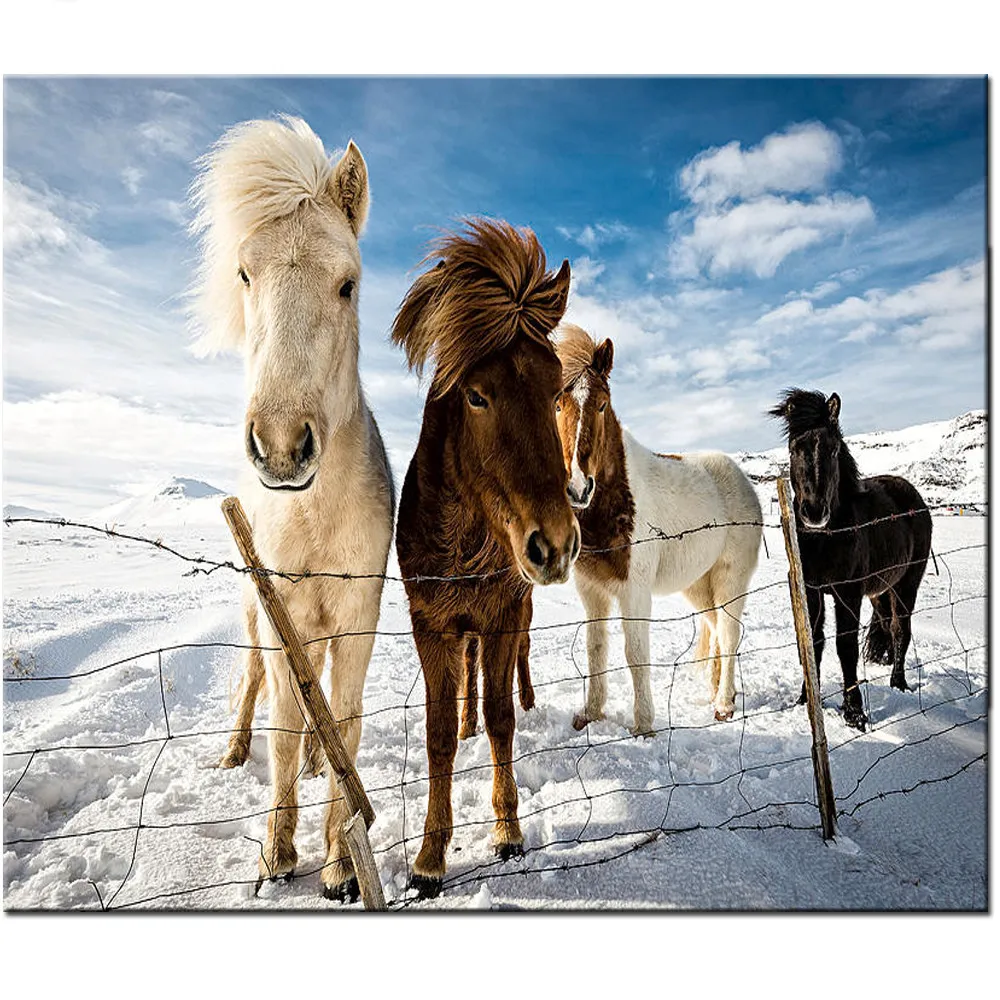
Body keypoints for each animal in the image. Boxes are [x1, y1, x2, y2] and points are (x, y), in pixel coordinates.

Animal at [189, 117, 394, 900]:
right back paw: (233, 752)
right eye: (245, 275)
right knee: (255, 688)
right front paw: (276, 856)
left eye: (348, 284)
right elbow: (281, 721)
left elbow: (346, 719)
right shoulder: (282, 619)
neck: (314, 518)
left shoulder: (358, 618)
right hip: (257, 616)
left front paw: (339, 862)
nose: (280, 447)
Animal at [391, 218, 578, 898]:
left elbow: (501, 720)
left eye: (557, 391)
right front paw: (429, 857)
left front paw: (507, 831)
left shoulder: (499, 616)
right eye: (476, 396)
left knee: (515, 670)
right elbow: (440, 734)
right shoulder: (432, 625)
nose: (555, 543)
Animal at [555, 323, 763, 733]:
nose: (578, 487)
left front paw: (644, 726)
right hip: (698, 584)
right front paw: (590, 713)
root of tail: (742, 479)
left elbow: (635, 653)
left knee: (729, 633)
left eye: (601, 403)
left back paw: (724, 704)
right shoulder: (591, 590)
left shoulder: (634, 591)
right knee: (715, 628)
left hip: (731, 579)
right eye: (557, 404)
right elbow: (595, 648)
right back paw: (716, 691)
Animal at [770, 388, 932, 731]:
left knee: (900, 628)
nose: (814, 512)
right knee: (886, 623)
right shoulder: (812, 591)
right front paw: (806, 699)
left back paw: (898, 683)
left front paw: (854, 712)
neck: (825, 538)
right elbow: (814, 642)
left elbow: (845, 646)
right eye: (793, 449)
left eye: (832, 450)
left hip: (907, 584)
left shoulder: (848, 592)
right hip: (881, 589)